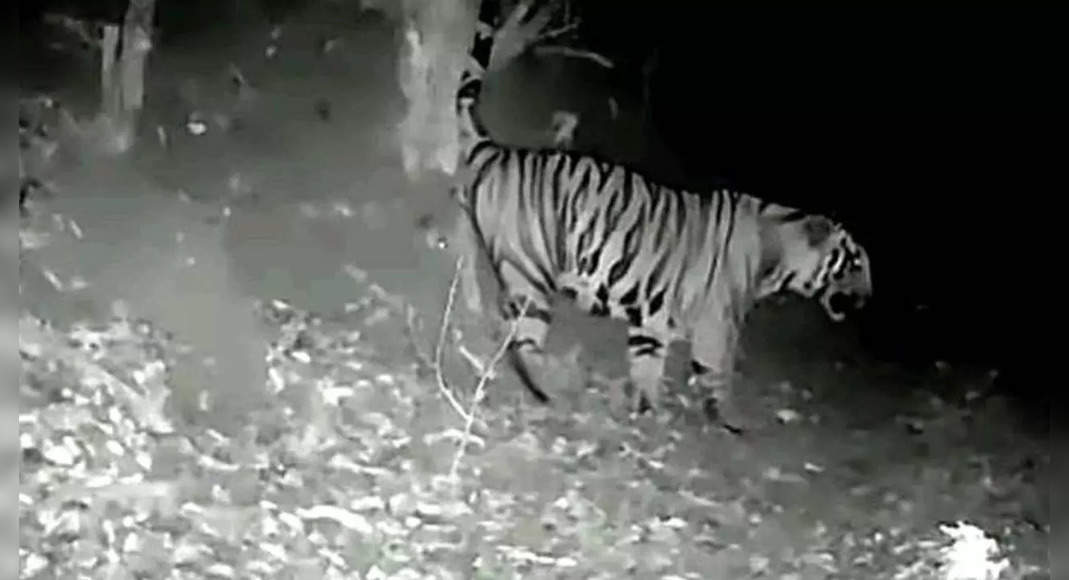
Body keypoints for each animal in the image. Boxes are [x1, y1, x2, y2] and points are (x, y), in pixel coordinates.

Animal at [447, 0, 873, 430]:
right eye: (855, 263)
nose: (868, 298)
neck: (779, 255)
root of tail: (497, 149)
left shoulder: (652, 318)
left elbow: (647, 364)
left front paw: (649, 409)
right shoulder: (718, 325)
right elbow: (718, 375)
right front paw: (729, 421)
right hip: (531, 270)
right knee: (523, 334)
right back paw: (546, 388)